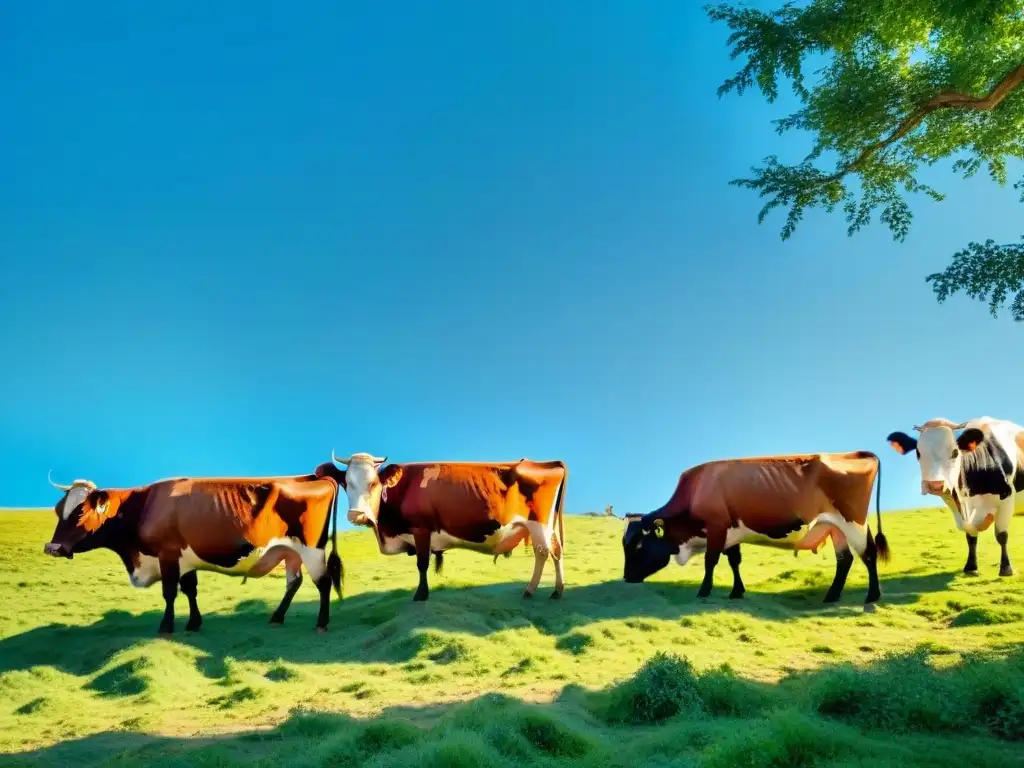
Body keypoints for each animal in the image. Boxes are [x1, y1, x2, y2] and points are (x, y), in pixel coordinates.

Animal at [43, 466, 344, 634]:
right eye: (58, 510)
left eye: (80, 512)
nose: (52, 547)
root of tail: (314, 477)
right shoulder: (184, 559)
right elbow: (190, 590)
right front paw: (194, 623)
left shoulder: (167, 554)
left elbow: (169, 592)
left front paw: (166, 627)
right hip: (289, 552)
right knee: (294, 582)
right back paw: (277, 617)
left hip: (311, 549)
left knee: (323, 582)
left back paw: (322, 623)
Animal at [313, 454, 569, 606]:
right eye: (346, 483)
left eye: (374, 483)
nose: (357, 515)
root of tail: (547, 462)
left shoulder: (421, 530)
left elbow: (422, 564)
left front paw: (421, 594)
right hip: (548, 527)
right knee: (556, 551)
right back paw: (557, 590)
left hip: (538, 524)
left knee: (543, 553)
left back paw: (531, 589)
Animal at [618, 450, 892, 606]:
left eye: (639, 544)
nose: (626, 577)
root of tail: (853, 453)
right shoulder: (731, 532)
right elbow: (734, 561)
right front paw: (737, 591)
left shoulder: (716, 527)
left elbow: (710, 561)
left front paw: (703, 591)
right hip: (833, 527)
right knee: (845, 559)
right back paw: (832, 595)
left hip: (853, 522)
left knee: (868, 554)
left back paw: (872, 595)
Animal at [884, 421, 1019, 577]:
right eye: (918, 453)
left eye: (955, 452)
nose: (934, 485)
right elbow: (970, 535)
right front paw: (971, 567)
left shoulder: (1007, 500)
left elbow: (1001, 535)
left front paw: (1006, 568)